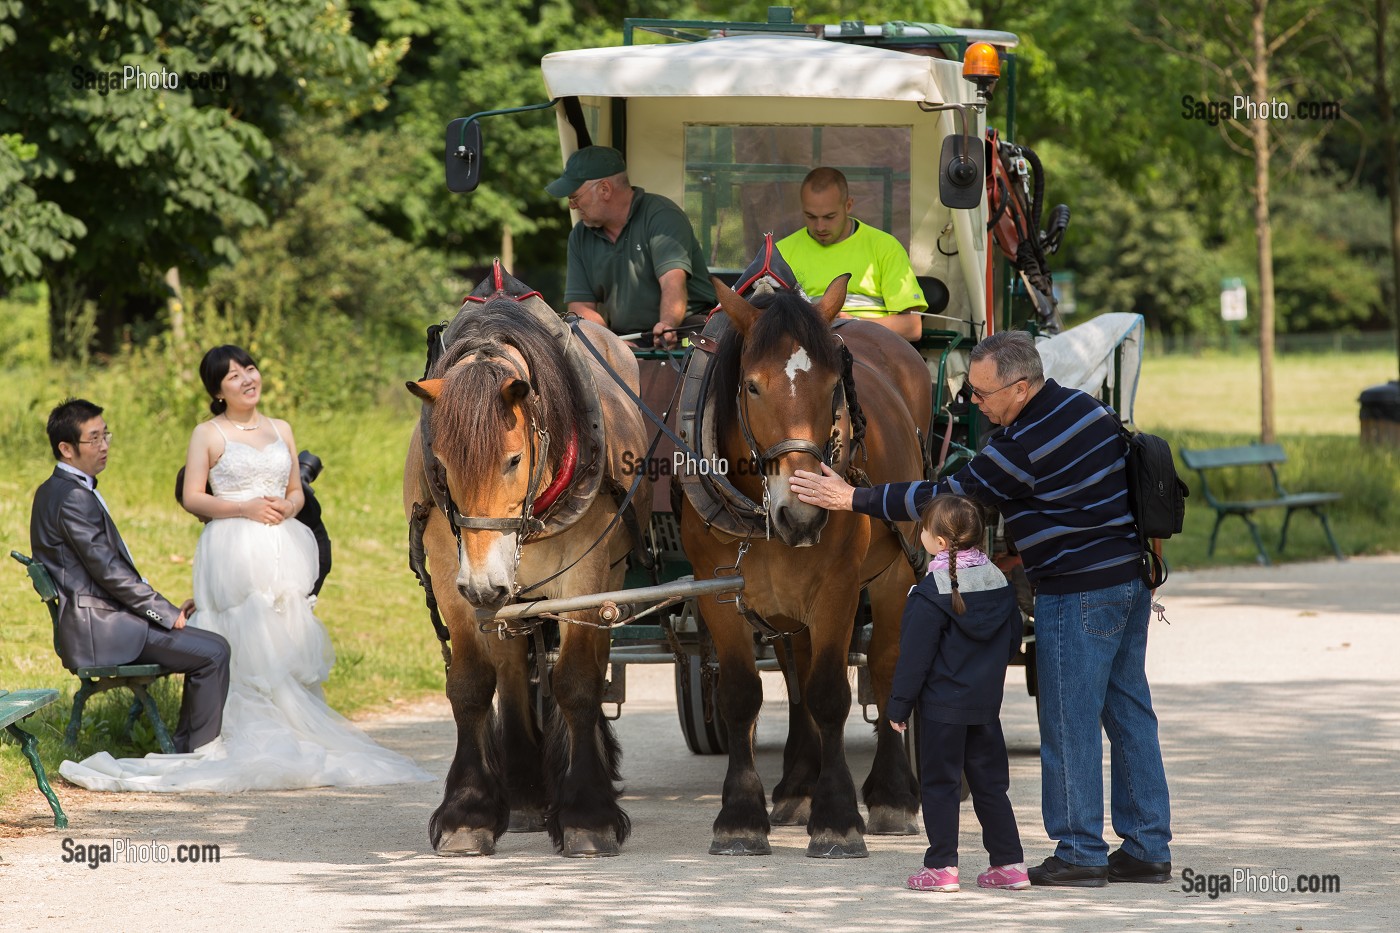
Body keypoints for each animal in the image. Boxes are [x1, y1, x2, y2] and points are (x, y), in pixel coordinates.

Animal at [403, 264, 651, 858]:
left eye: (513, 459)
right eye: (441, 462)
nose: (483, 585)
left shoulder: (584, 579)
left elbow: (578, 683)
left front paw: (588, 814)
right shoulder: (453, 577)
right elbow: (472, 686)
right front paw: (468, 811)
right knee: (514, 675)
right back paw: (522, 794)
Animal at [680, 274, 933, 858]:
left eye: (833, 387)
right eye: (752, 386)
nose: (802, 513)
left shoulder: (838, 588)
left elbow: (831, 693)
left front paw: (838, 818)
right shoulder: (716, 590)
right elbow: (744, 694)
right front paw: (741, 817)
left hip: (896, 572)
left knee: (886, 667)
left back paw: (893, 795)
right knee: (796, 672)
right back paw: (798, 785)